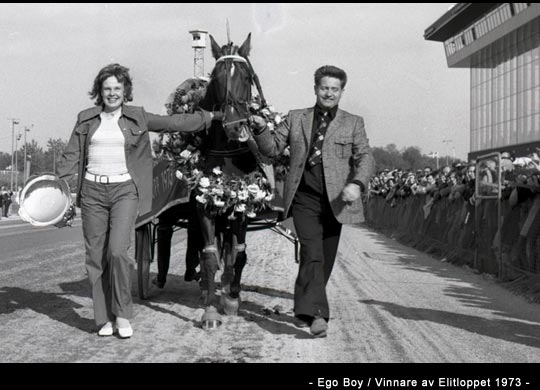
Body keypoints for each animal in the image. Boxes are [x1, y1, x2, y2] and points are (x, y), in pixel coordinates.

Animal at [194, 32, 270, 322]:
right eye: (216, 78)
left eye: (247, 78)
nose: (234, 126)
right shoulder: (205, 206)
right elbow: (209, 256)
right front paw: (209, 311)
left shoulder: (243, 205)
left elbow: (238, 254)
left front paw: (232, 298)